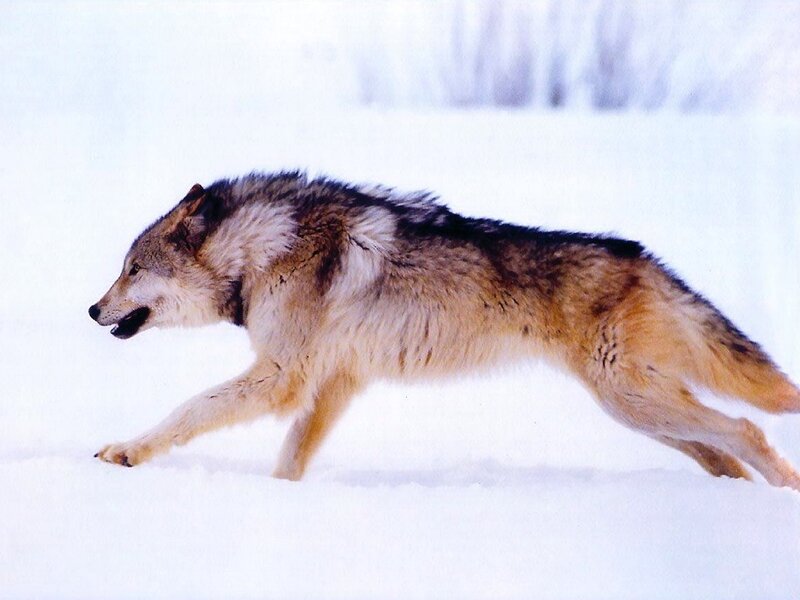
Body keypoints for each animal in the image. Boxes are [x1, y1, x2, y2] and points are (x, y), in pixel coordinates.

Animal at [89, 171, 800, 488]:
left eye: (130, 270)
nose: (92, 311)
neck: (259, 251)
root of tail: (642, 257)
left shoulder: (282, 377)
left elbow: (188, 410)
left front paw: (126, 451)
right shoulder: (336, 381)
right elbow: (290, 457)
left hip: (633, 400)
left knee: (746, 429)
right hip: (639, 411)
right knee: (722, 453)